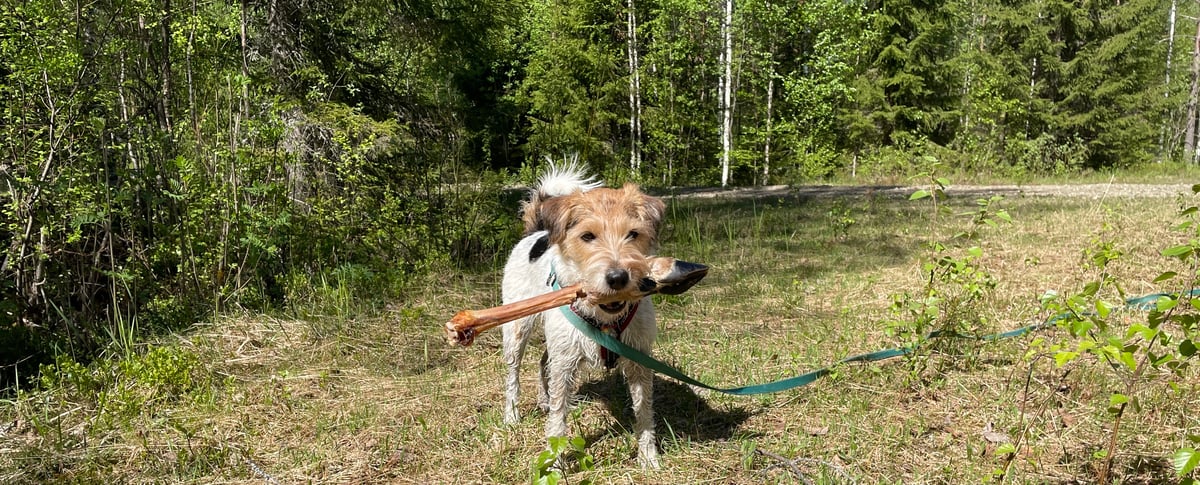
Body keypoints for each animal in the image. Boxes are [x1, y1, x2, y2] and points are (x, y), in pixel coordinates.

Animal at [499, 157, 667, 468]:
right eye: (587, 236)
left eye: (633, 234)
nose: (618, 278)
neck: (605, 318)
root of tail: (536, 232)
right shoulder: (564, 364)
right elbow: (558, 419)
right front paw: (554, 463)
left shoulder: (639, 361)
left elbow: (644, 412)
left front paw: (648, 457)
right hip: (517, 330)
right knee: (513, 374)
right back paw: (512, 415)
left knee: (544, 361)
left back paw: (543, 399)